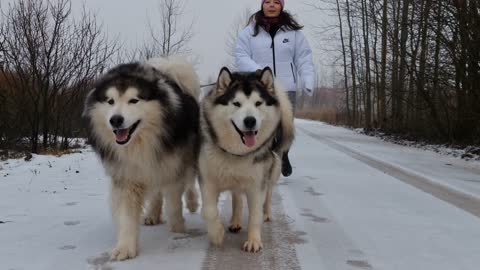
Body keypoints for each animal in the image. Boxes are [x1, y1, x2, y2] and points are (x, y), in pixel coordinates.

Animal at [83, 56, 200, 260]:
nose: (116, 120)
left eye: (134, 100)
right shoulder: (127, 176)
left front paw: (178, 229)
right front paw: (125, 247)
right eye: (110, 101)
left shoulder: (172, 167)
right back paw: (153, 214)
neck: (139, 144)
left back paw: (192, 203)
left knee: (188, 183)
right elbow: (127, 215)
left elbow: (174, 203)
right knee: (157, 193)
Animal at [198, 66, 292, 252]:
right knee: (237, 198)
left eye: (258, 103)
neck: (237, 153)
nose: (250, 121)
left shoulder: (257, 183)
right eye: (236, 103)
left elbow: (255, 214)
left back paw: (266, 213)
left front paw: (254, 240)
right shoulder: (207, 179)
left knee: (268, 194)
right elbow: (209, 210)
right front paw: (217, 234)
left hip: (272, 169)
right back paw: (235, 221)